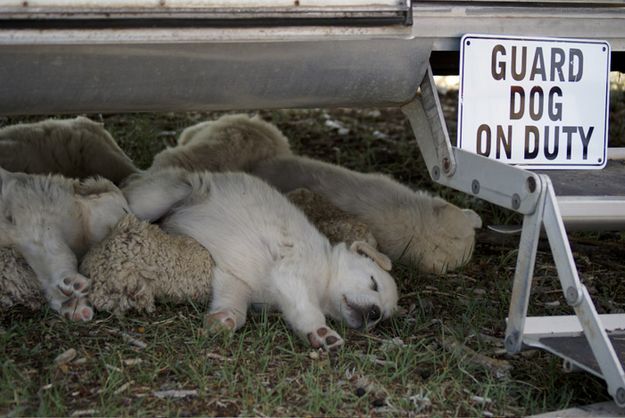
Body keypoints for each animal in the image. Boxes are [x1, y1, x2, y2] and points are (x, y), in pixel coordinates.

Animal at [122, 168, 398, 352]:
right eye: (373, 283)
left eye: (383, 317)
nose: (375, 313)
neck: (326, 273)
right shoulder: (291, 274)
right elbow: (307, 310)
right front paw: (321, 333)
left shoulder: (235, 279)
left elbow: (234, 305)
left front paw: (223, 320)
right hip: (159, 197)